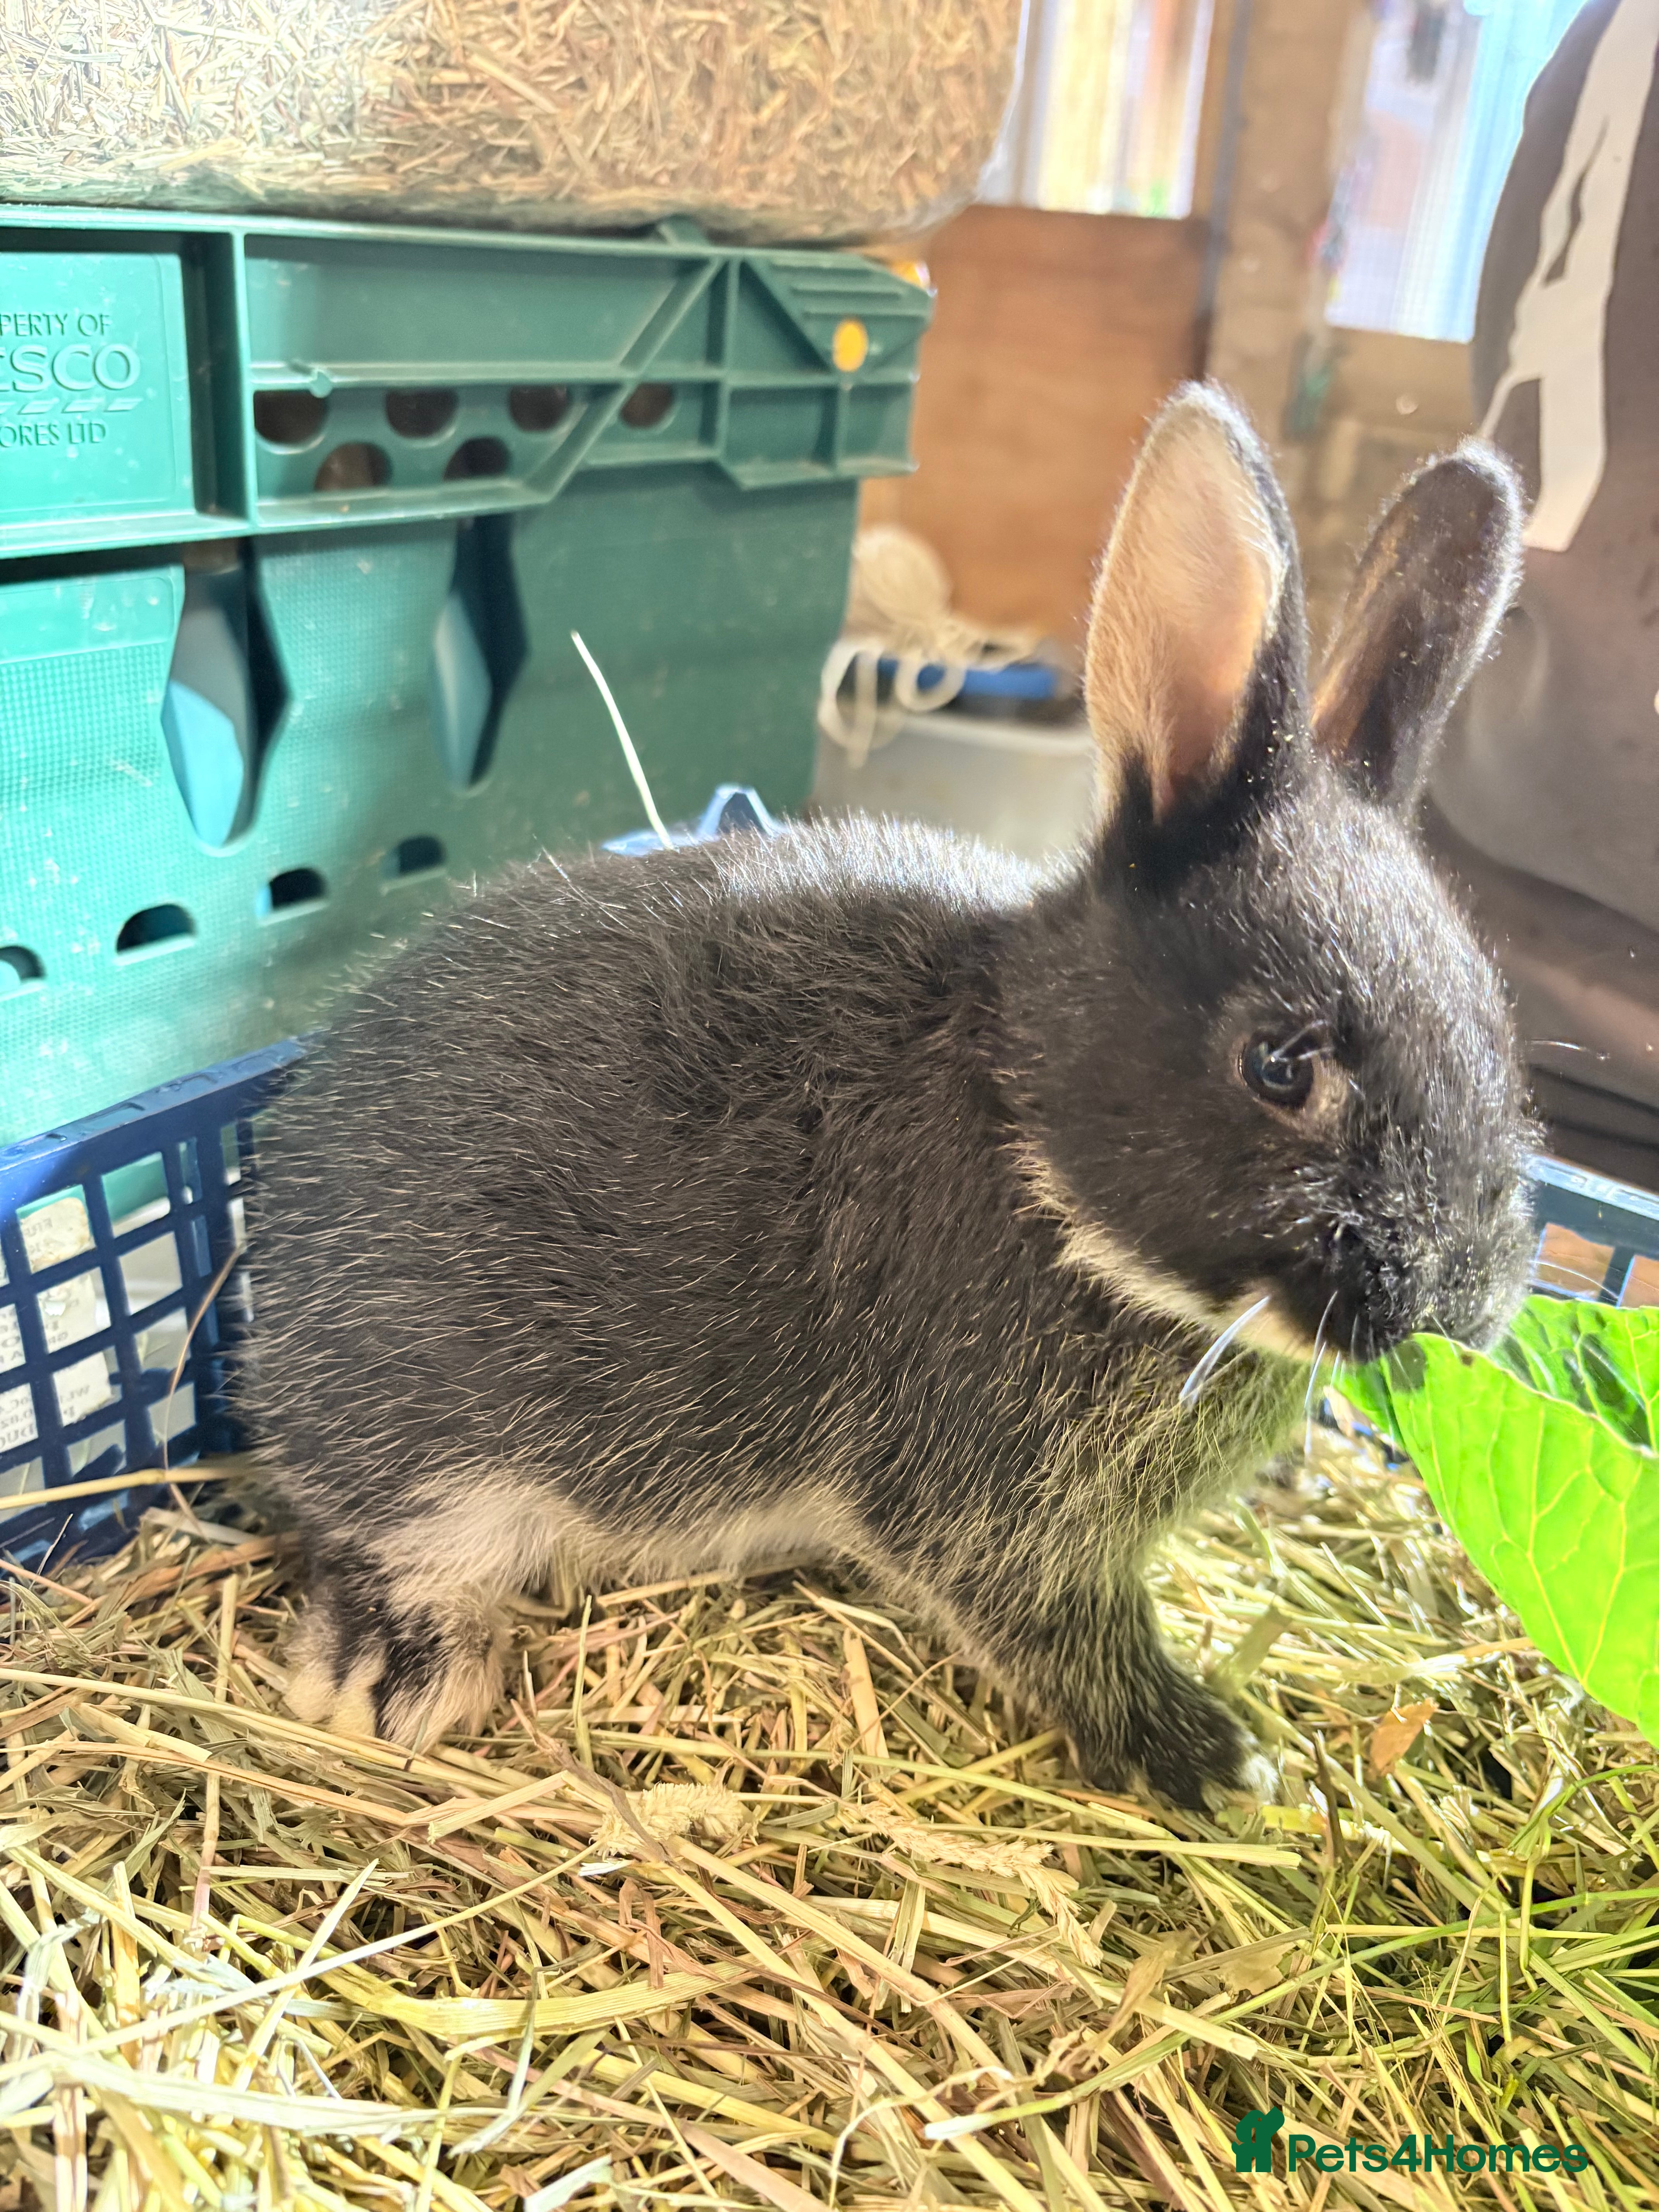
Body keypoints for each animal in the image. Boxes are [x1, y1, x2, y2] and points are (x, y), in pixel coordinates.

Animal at [242, 384, 1536, 1809]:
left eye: (1493, 1024)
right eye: (1280, 1065)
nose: (1464, 1311)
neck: (1033, 1140)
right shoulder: (993, 1505)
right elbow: (1063, 1628)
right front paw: (1220, 1756)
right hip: (441, 1455)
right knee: (377, 1537)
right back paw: (396, 1675)